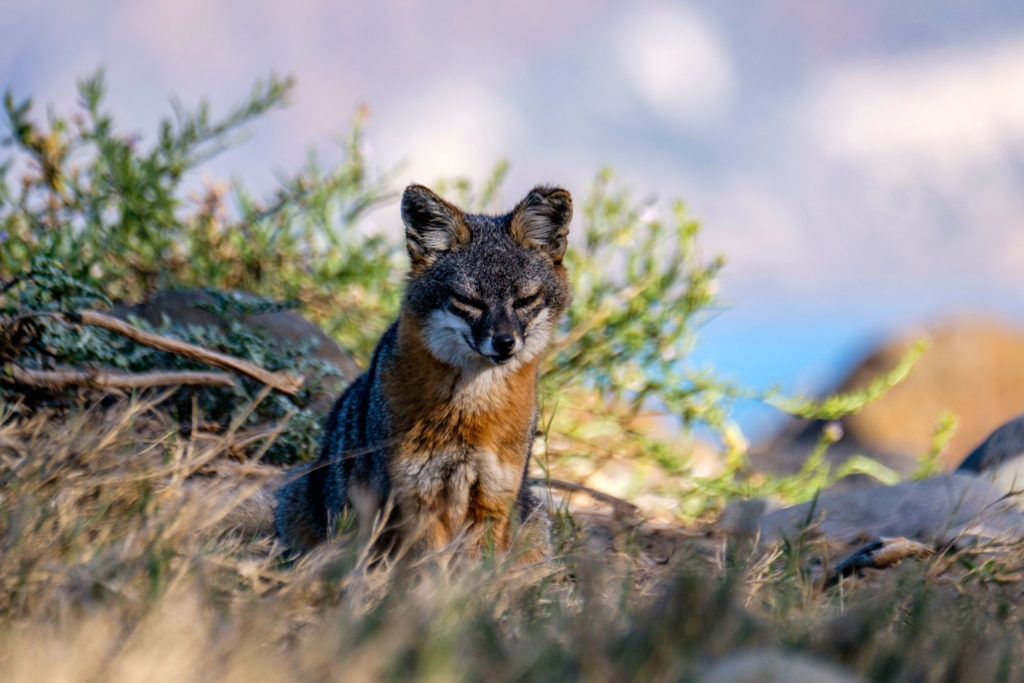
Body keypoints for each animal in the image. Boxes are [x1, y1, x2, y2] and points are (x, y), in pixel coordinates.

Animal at [275, 183, 572, 560]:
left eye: (525, 301)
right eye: (469, 301)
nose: (505, 342)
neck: (471, 414)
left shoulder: (494, 499)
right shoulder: (417, 497)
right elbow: (429, 568)